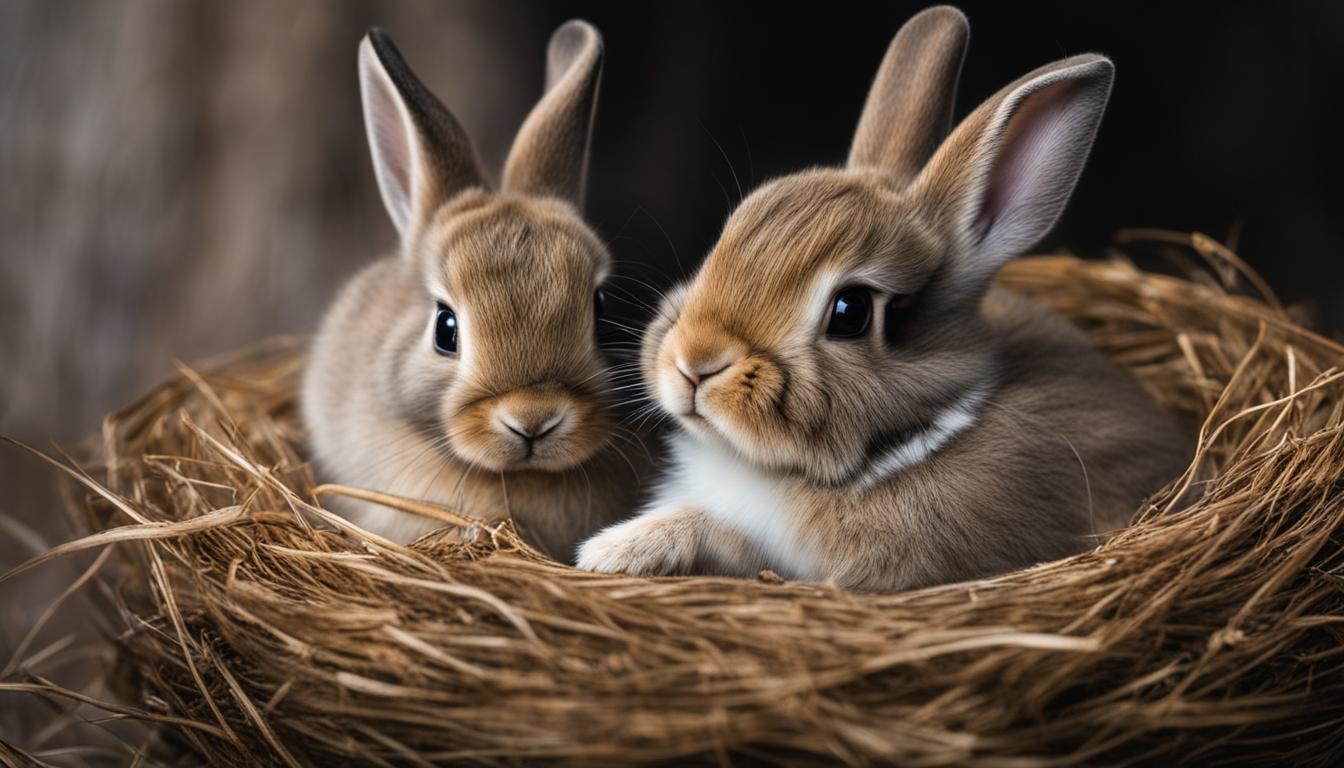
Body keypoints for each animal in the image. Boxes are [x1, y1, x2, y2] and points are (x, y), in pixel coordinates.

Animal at [576, 6, 1190, 591]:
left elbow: (731, 540)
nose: (694, 362)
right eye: (723, 240)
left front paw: (611, 550)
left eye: (850, 312)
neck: (913, 439)